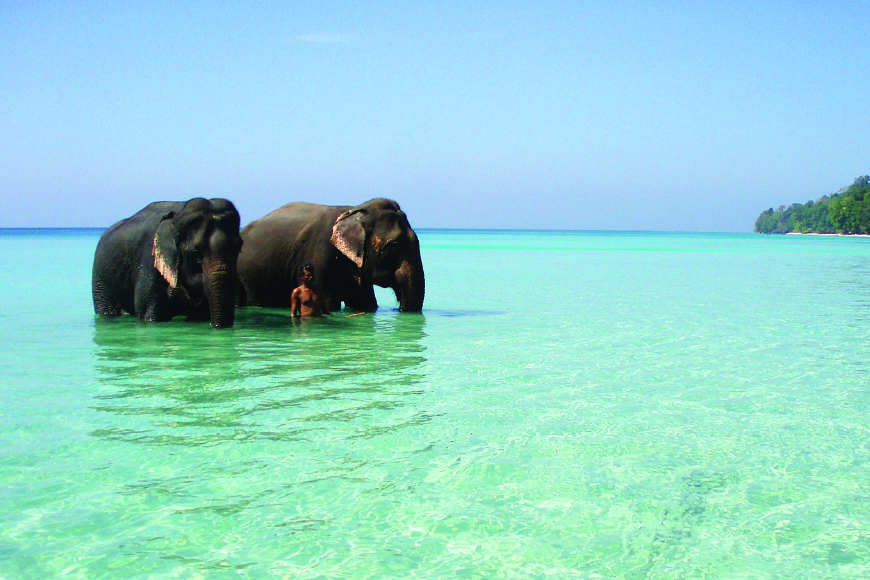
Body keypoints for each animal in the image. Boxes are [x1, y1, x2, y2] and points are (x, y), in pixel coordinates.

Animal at [237, 198, 424, 312]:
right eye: (395, 244)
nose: (399, 309)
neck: (354, 211)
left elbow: (365, 303)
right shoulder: (319, 256)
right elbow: (327, 303)